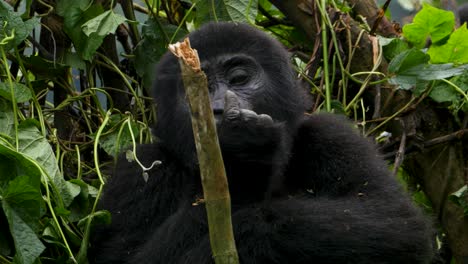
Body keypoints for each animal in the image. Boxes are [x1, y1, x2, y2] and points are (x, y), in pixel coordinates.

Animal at [88, 23, 436, 264]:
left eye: (239, 79)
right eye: (198, 88)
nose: (218, 108)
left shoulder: (333, 134)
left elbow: (395, 223)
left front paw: (243, 166)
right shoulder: (137, 170)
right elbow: (125, 257)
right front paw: (241, 168)